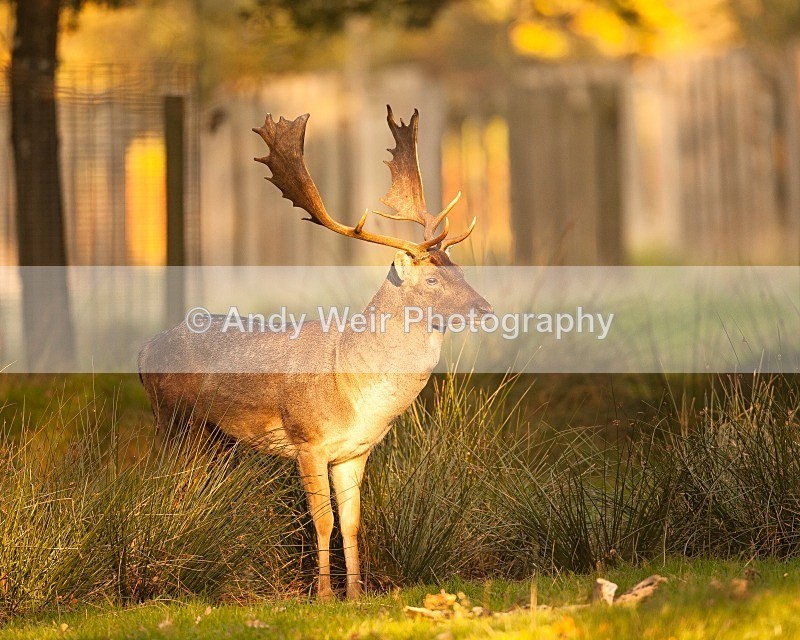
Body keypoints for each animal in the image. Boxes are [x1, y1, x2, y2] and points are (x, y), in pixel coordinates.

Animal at [138, 105, 492, 601]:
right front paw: (324, 595)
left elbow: (352, 524)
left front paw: (357, 593)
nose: (485, 308)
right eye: (433, 279)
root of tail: (143, 350)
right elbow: (321, 522)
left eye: (459, 268)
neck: (353, 388)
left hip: (213, 436)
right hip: (171, 419)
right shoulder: (308, 441)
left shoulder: (354, 452)